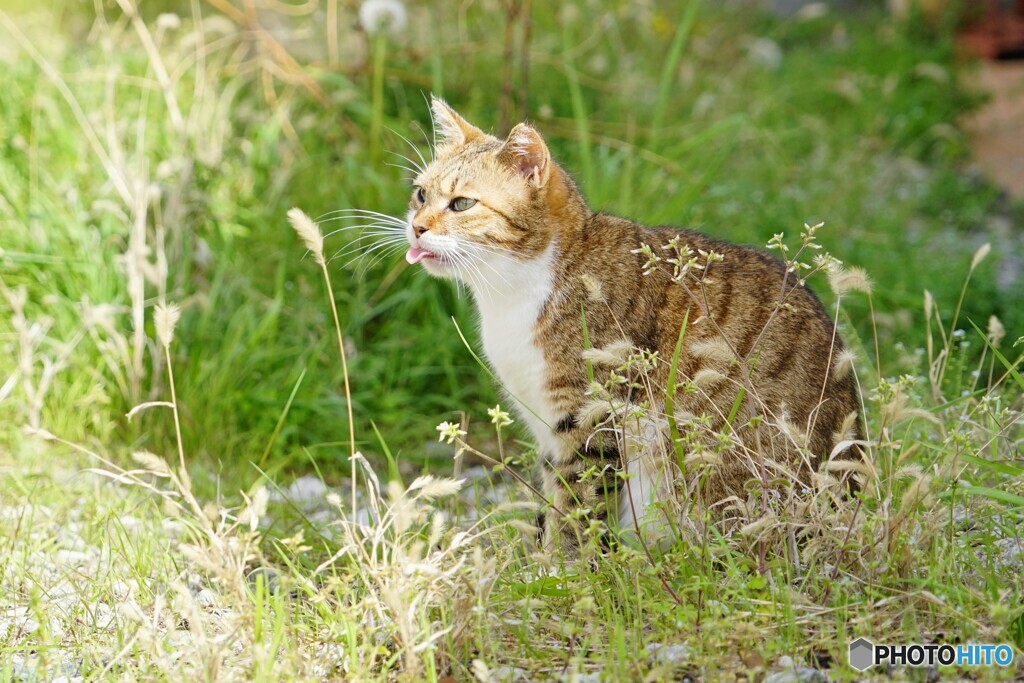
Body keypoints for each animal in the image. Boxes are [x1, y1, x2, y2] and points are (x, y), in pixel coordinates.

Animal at [403, 97, 860, 557]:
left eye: (462, 204)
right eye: (421, 193)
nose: (416, 226)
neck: (514, 287)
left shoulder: (590, 414)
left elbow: (576, 504)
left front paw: (563, 564)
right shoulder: (545, 419)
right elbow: (555, 492)